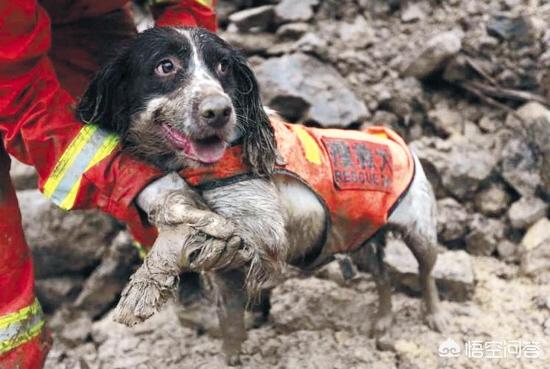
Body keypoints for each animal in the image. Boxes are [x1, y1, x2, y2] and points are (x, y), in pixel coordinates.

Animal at [77, 27, 448, 364]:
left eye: (223, 66)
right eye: (165, 66)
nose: (219, 111)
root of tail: (394, 138)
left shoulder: (264, 233)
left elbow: (186, 239)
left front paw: (143, 287)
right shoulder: (224, 270)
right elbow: (230, 324)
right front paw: (230, 356)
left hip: (420, 230)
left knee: (426, 272)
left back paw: (435, 316)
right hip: (359, 241)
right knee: (383, 276)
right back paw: (383, 323)